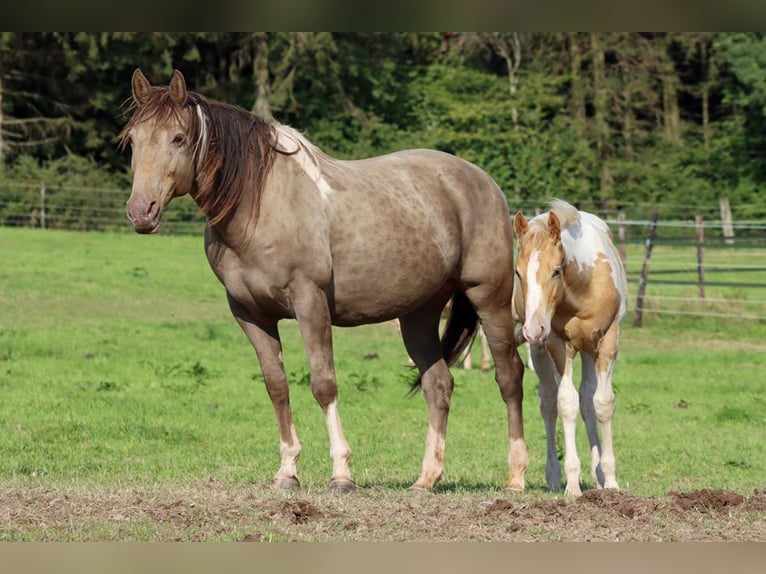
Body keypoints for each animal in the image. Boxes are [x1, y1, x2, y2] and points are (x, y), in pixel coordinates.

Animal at [120, 69, 528, 492]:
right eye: (132, 140)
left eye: (178, 138)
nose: (141, 211)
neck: (259, 205)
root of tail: (483, 181)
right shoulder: (250, 314)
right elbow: (277, 386)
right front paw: (287, 471)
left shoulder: (310, 302)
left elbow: (323, 383)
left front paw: (341, 473)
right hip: (420, 314)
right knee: (439, 385)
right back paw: (426, 479)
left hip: (490, 300)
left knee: (509, 377)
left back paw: (516, 476)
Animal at [512, 199, 627, 496]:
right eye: (518, 272)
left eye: (556, 270)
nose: (533, 329)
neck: (582, 289)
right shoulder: (557, 343)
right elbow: (566, 403)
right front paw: (573, 484)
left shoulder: (608, 339)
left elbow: (602, 403)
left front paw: (610, 480)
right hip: (541, 352)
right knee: (549, 402)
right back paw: (554, 477)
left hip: (587, 348)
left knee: (587, 399)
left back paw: (598, 476)